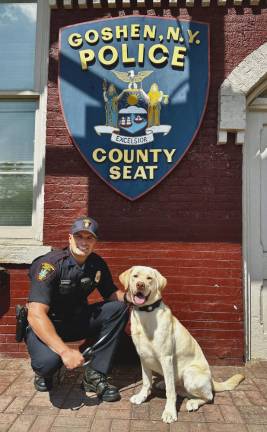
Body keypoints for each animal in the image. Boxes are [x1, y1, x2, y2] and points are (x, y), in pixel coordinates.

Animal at [120, 264, 246, 424]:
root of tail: (211, 381)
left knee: (207, 396)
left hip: (189, 373)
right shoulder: (143, 356)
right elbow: (146, 381)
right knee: (179, 389)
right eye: (135, 276)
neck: (146, 314)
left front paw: (169, 412)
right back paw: (164, 384)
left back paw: (193, 402)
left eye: (149, 278)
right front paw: (142, 396)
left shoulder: (166, 357)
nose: (140, 285)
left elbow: (170, 392)